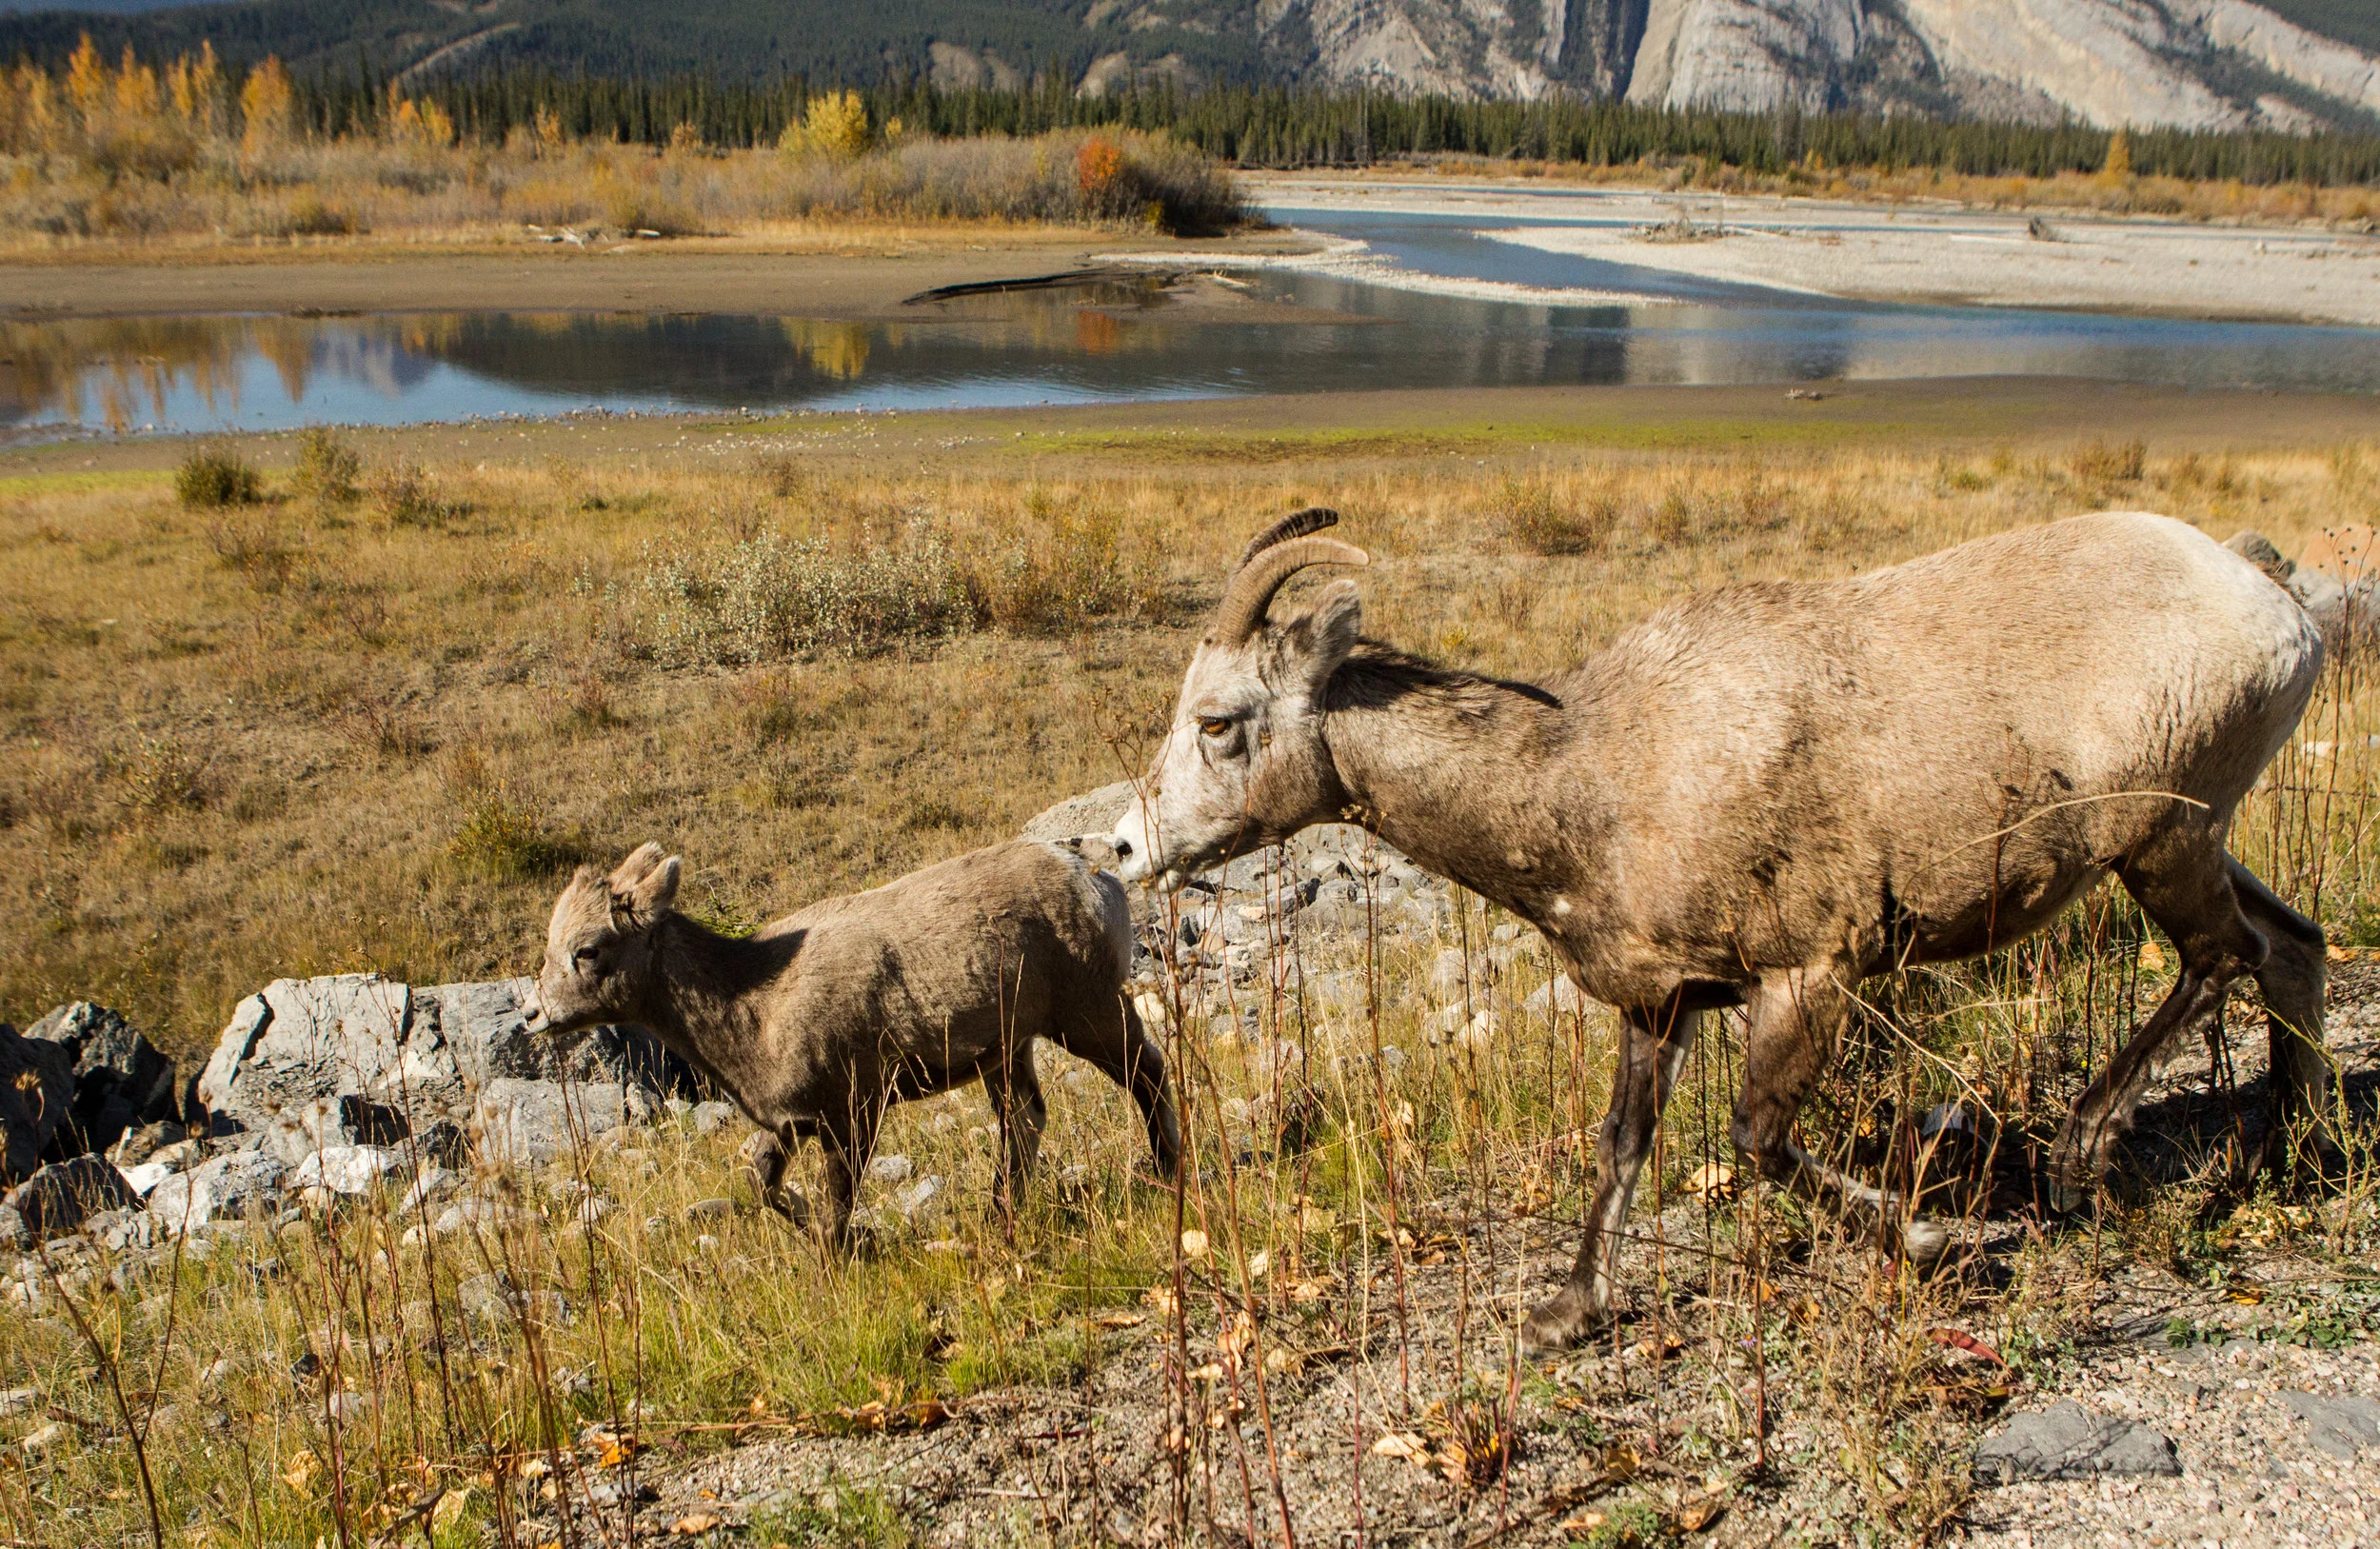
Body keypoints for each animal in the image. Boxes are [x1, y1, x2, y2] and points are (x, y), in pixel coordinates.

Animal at [521, 841, 1180, 1243]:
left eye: (588, 950)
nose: (532, 1015)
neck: (755, 1002)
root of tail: (1097, 881)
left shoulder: (853, 1114)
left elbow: (836, 1210)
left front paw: (846, 1250)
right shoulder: (789, 1125)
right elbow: (764, 1185)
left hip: (1089, 1016)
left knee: (1148, 1072)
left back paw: (1166, 1169)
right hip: (1008, 1053)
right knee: (1024, 1119)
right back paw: (1000, 1213)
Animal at [1113, 507, 2331, 1353]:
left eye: (1219, 721)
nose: (1126, 848)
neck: (1597, 778)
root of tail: (2283, 617)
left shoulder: (1809, 978)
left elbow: (1755, 1140)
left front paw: (1932, 1246)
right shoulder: (1659, 1005)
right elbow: (1622, 1143)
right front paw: (1567, 1314)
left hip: (2163, 842)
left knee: (2220, 956)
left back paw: (2082, 1154)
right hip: (2200, 842)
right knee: (2292, 945)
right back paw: (2301, 1153)